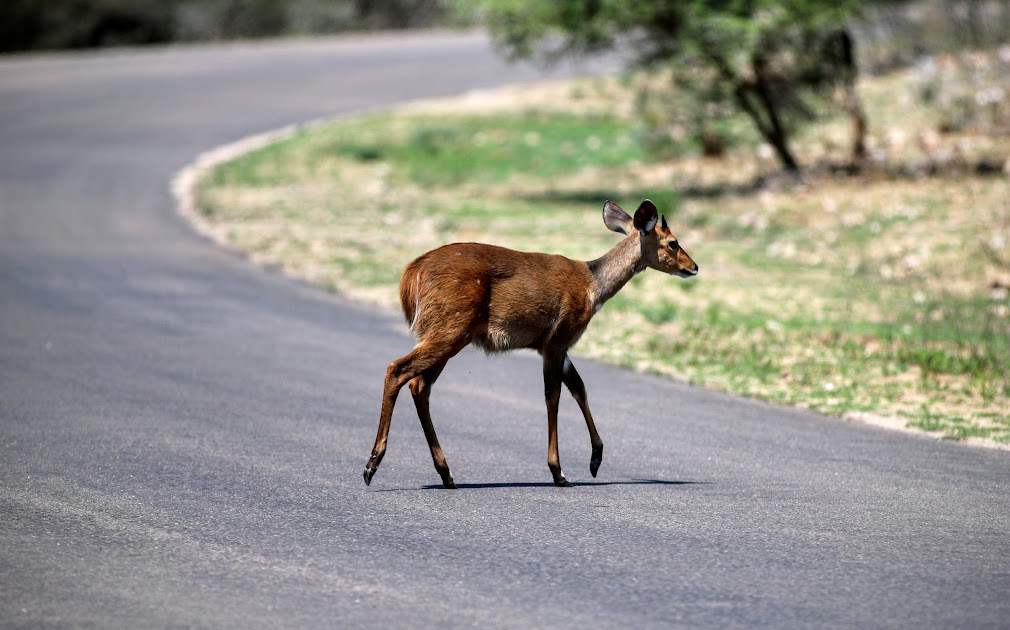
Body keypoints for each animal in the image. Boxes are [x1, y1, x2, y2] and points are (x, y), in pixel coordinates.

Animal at [365, 198, 702, 490]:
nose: (694, 267)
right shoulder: (557, 338)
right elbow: (553, 396)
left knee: (420, 385)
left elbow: (579, 387)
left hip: (447, 333)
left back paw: (446, 473)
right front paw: (559, 472)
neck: (592, 287)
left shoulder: (556, 346)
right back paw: (371, 466)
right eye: (673, 242)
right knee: (398, 370)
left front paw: (595, 460)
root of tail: (411, 275)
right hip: (449, 328)